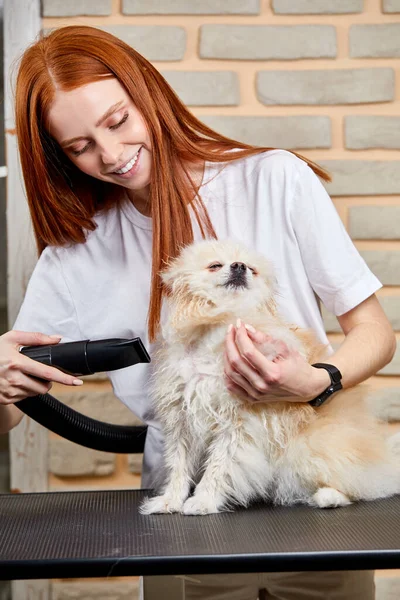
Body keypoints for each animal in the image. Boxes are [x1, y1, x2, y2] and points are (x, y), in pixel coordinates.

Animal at [139, 239, 398, 516]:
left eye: (251, 269)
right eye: (215, 265)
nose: (239, 266)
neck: (217, 329)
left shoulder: (237, 423)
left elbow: (218, 466)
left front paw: (204, 500)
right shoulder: (182, 420)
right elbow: (178, 466)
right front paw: (170, 500)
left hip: (308, 448)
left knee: (356, 481)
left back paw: (330, 496)